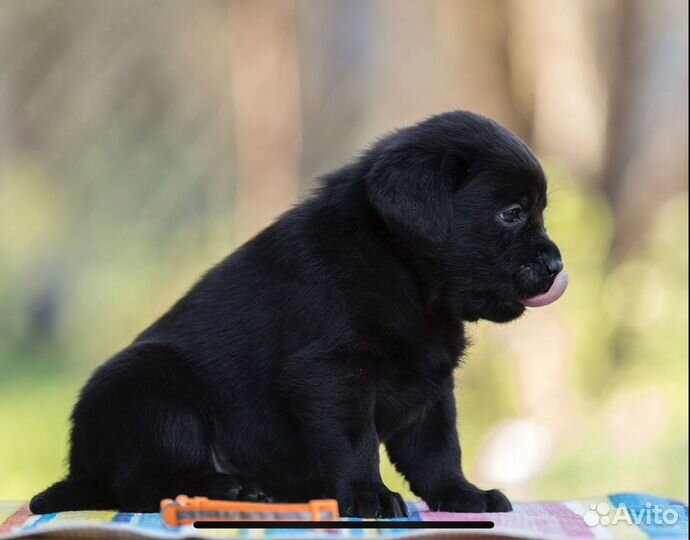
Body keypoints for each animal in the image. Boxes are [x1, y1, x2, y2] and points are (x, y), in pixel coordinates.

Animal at [30, 110, 564, 520]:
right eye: (512, 213)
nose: (558, 266)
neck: (398, 269)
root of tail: (81, 467)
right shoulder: (332, 374)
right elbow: (356, 444)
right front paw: (369, 497)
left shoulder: (429, 382)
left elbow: (438, 449)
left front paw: (463, 495)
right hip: (154, 392)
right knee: (138, 483)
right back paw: (227, 488)